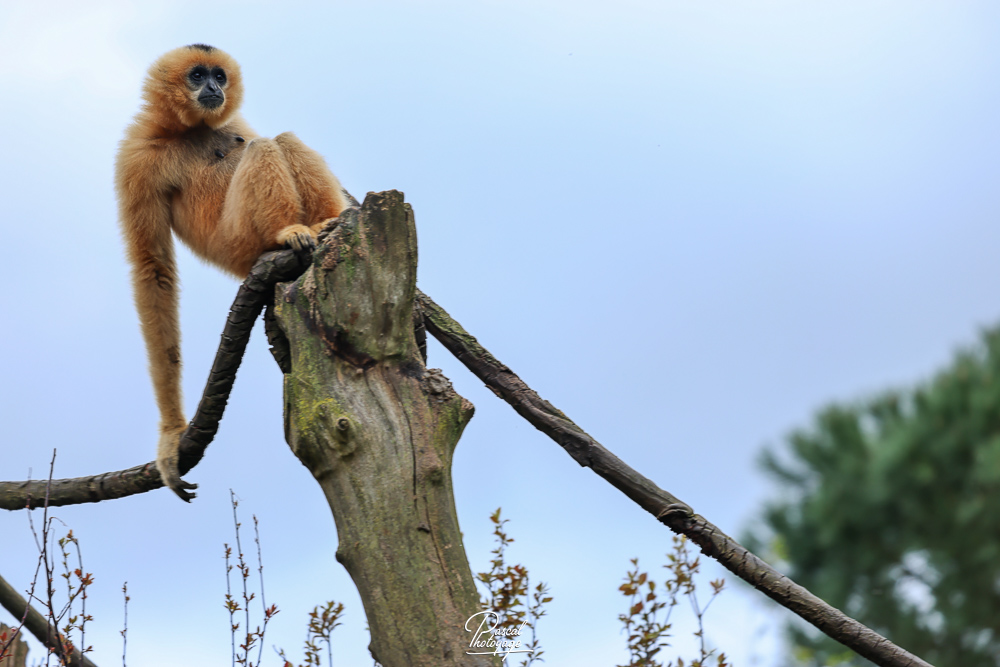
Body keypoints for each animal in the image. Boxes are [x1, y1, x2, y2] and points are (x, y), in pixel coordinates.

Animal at [115, 45, 348, 501]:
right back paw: (290, 231)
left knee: (279, 139)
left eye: (219, 76)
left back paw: (329, 221)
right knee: (263, 147)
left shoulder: (228, 122)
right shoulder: (136, 158)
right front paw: (172, 434)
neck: (185, 130)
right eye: (197, 75)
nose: (212, 87)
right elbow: (153, 271)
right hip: (240, 241)